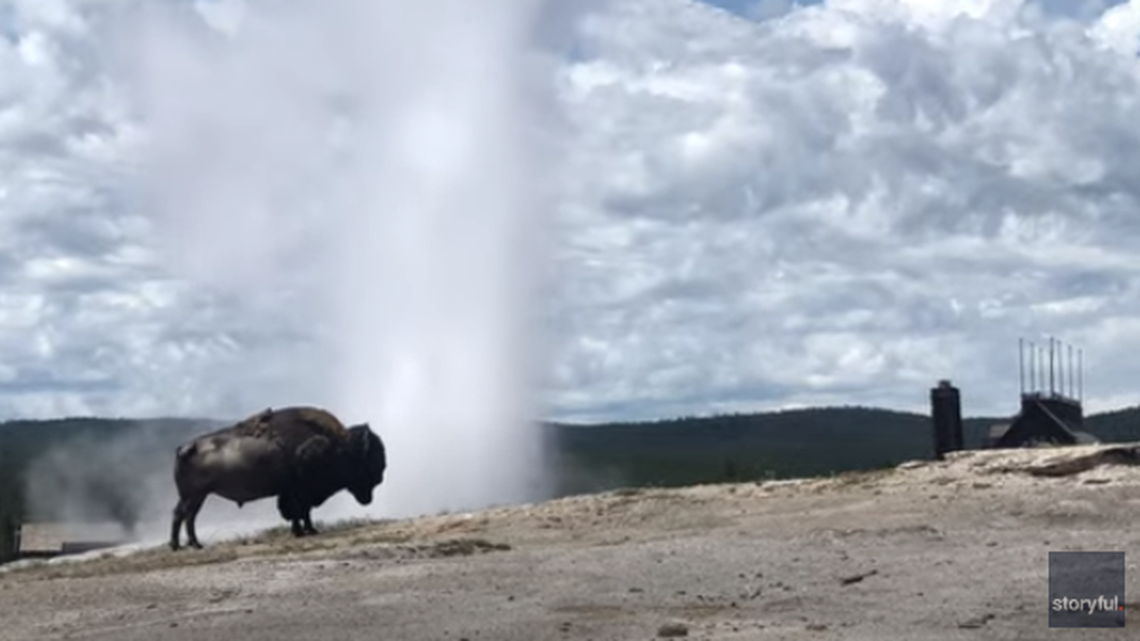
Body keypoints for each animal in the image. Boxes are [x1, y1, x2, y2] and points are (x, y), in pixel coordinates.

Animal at [169, 405, 387, 551]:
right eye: (369, 456)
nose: (381, 476)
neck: (337, 445)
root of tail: (185, 448)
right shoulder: (298, 491)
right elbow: (299, 511)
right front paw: (300, 532)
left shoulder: (298, 493)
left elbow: (305, 512)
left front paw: (310, 530)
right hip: (194, 496)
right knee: (183, 515)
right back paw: (187, 545)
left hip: (196, 496)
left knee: (186, 516)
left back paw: (187, 544)